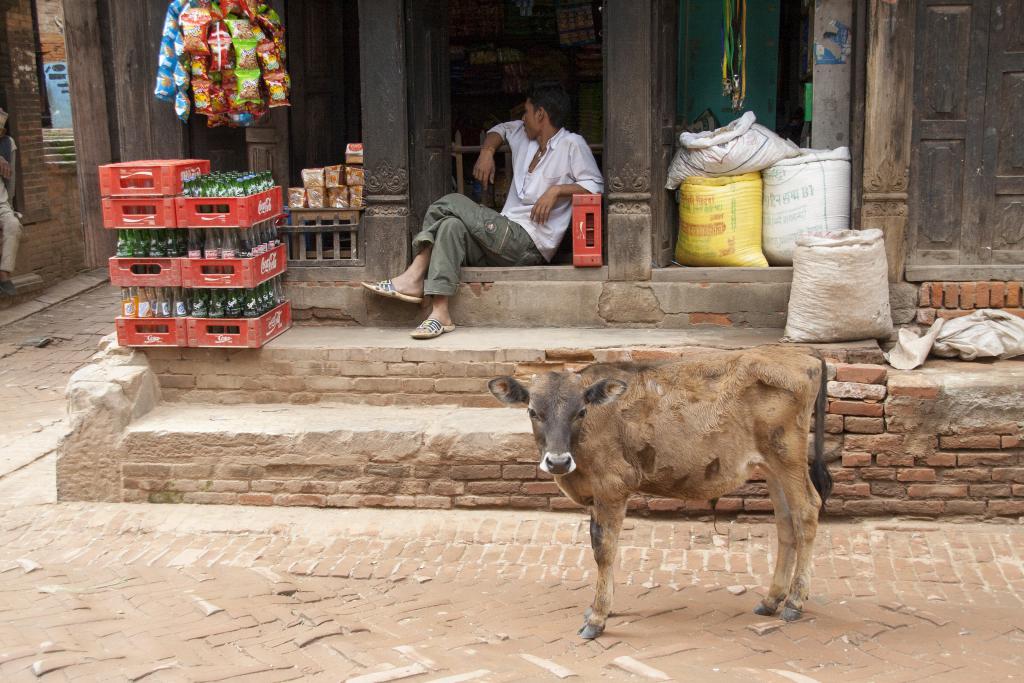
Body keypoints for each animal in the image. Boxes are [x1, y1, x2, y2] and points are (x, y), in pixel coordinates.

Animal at [487, 348, 831, 643]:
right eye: (533, 411)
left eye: (581, 411)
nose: (557, 461)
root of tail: (803, 353)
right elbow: (600, 545)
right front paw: (604, 606)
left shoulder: (611, 487)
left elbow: (604, 549)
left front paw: (598, 617)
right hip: (770, 466)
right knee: (786, 522)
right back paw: (772, 599)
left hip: (787, 456)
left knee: (807, 511)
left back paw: (794, 601)